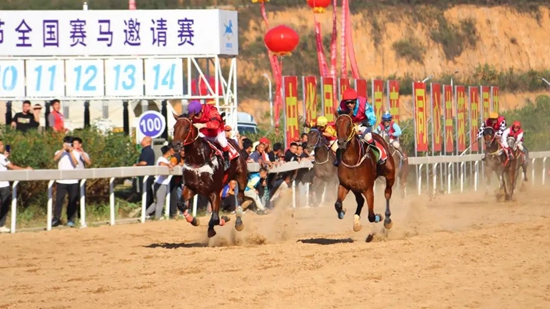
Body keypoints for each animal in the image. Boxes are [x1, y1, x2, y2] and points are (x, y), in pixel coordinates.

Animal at [332, 113, 396, 241]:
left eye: (349, 124)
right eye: (336, 124)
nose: (341, 143)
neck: (352, 161)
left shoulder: (368, 188)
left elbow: (371, 215)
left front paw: (378, 217)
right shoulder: (344, 185)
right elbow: (337, 204)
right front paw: (342, 212)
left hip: (390, 175)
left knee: (387, 193)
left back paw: (387, 220)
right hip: (355, 187)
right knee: (360, 200)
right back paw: (356, 222)